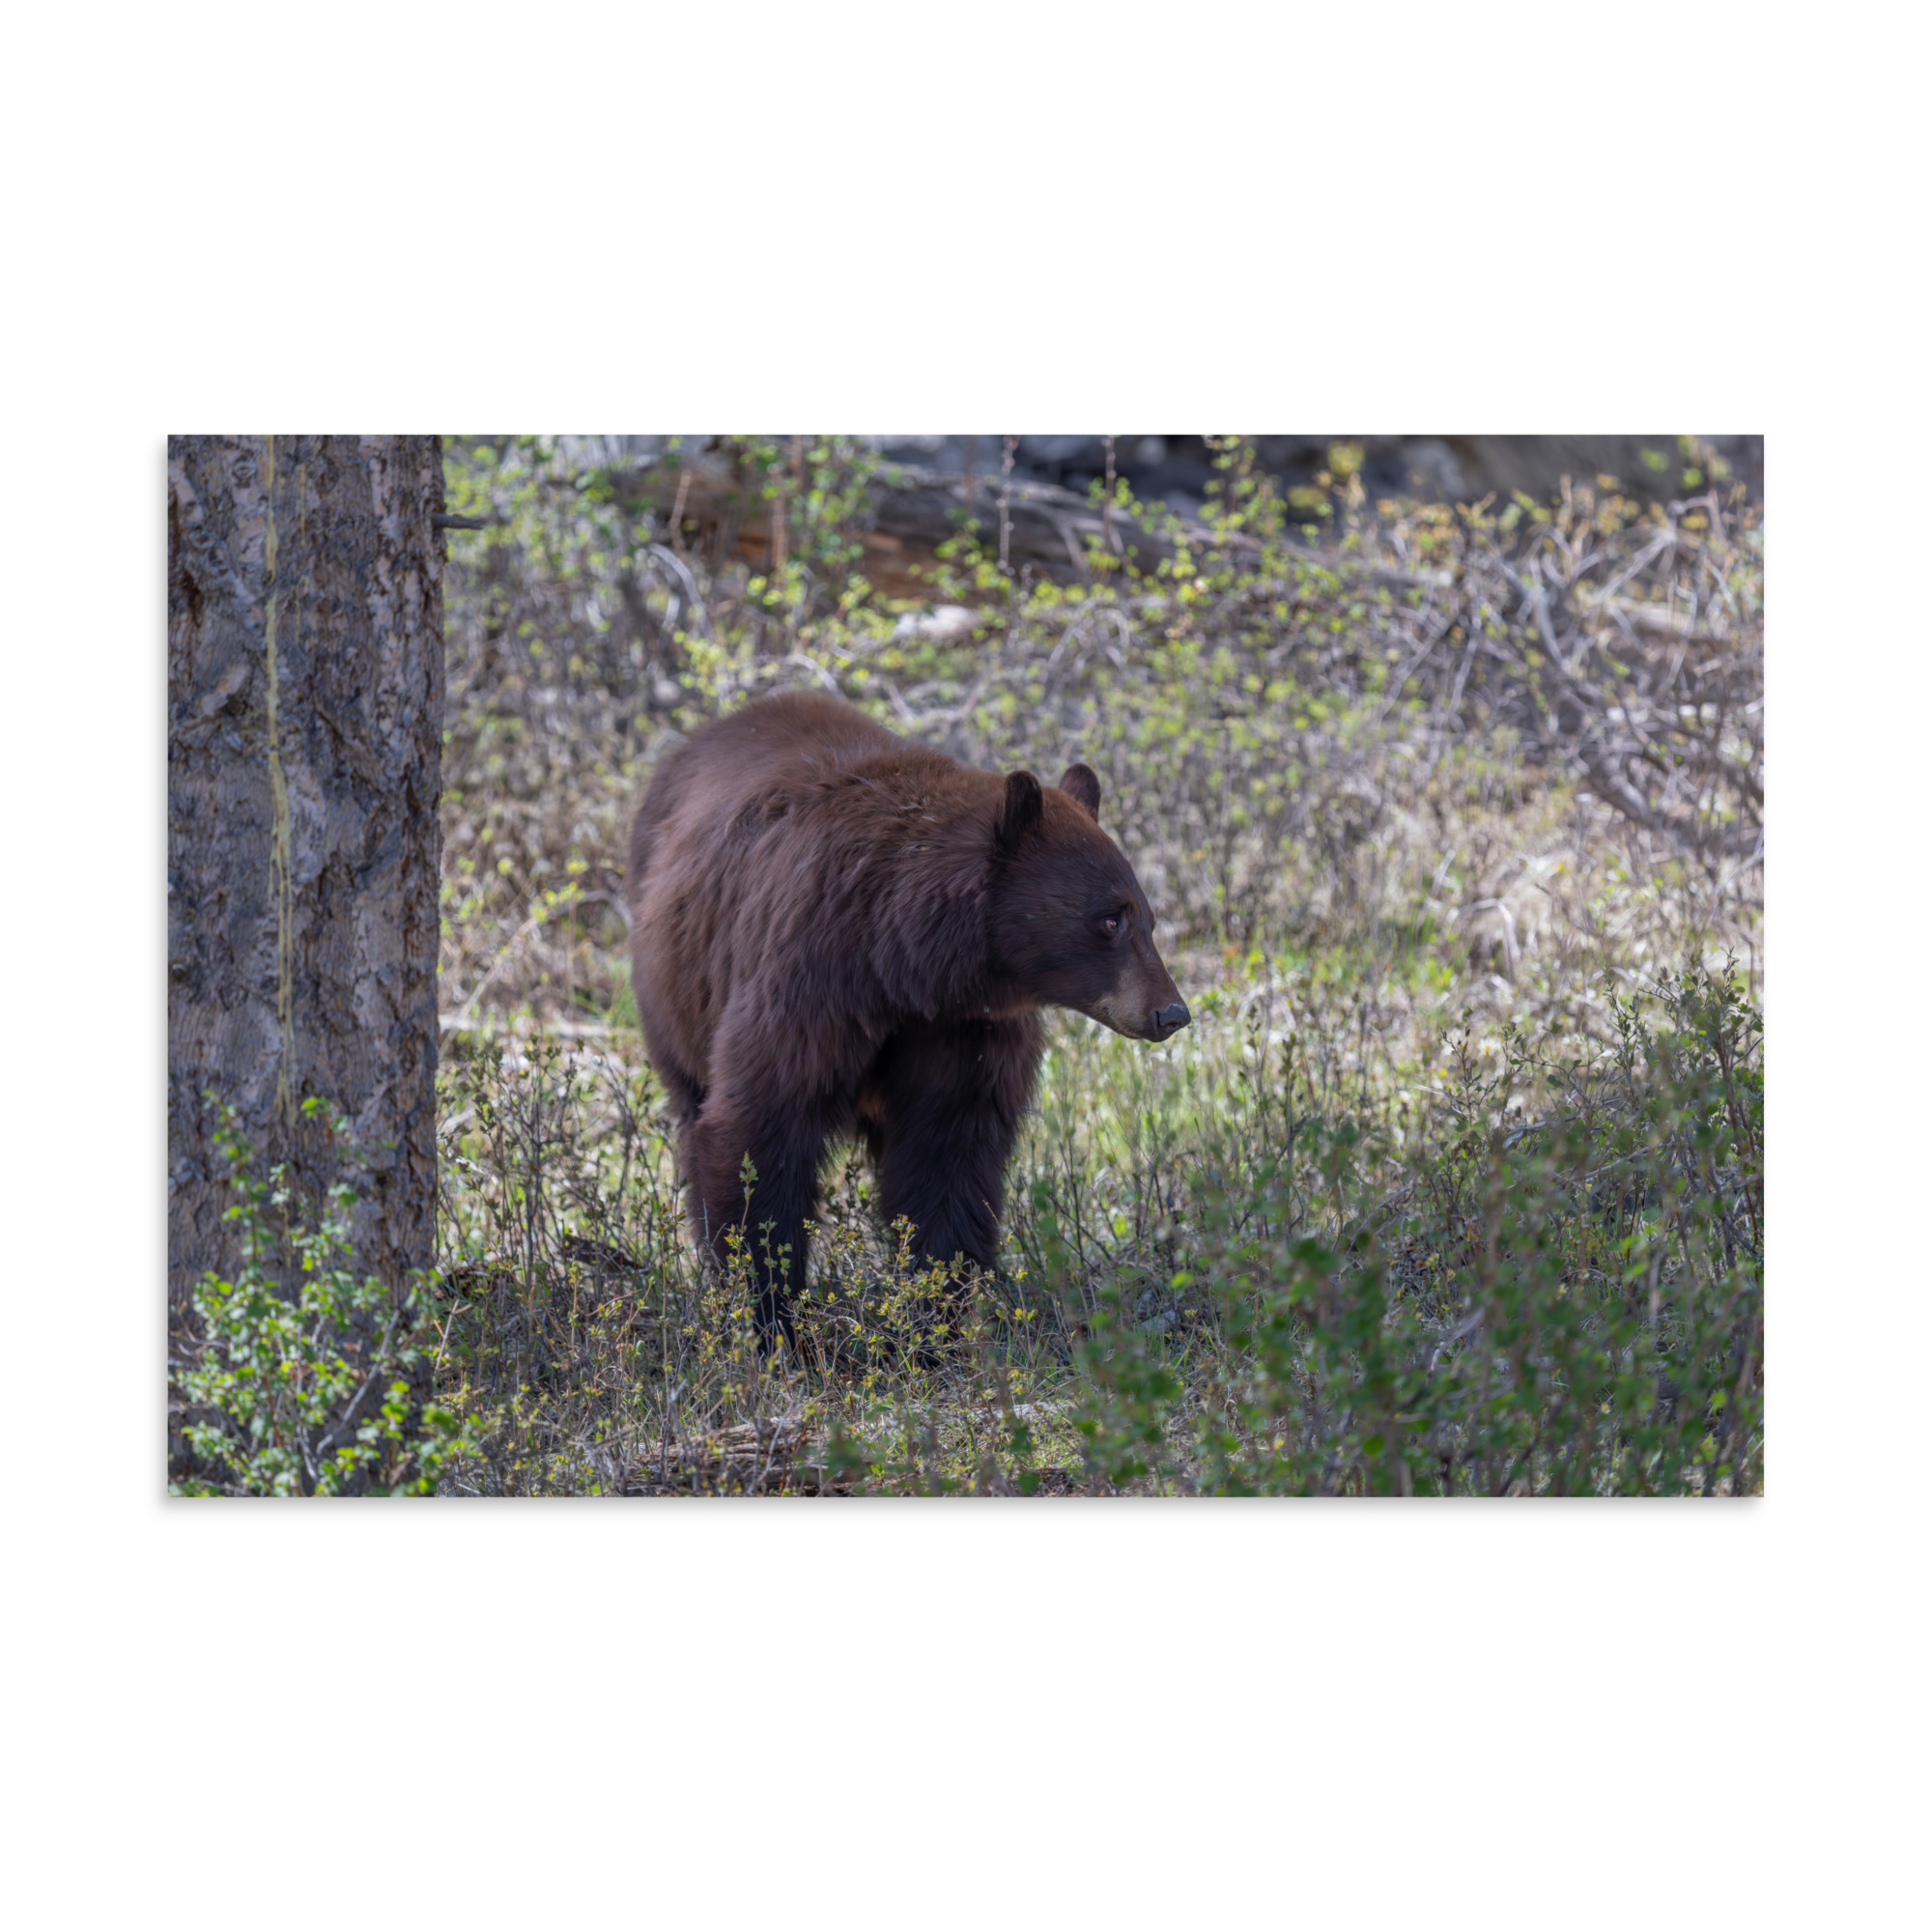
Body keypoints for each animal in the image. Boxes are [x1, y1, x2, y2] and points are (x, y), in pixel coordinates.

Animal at [624, 689, 1188, 1344]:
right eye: (1110, 919)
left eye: (1147, 919)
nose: (1171, 1012)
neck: (903, 964)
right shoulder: (808, 980)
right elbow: (760, 1130)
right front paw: (774, 1320)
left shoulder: (963, 1031)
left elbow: (948, 1156)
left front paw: (933, 1321)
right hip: (675, 993)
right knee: (694, 1109)